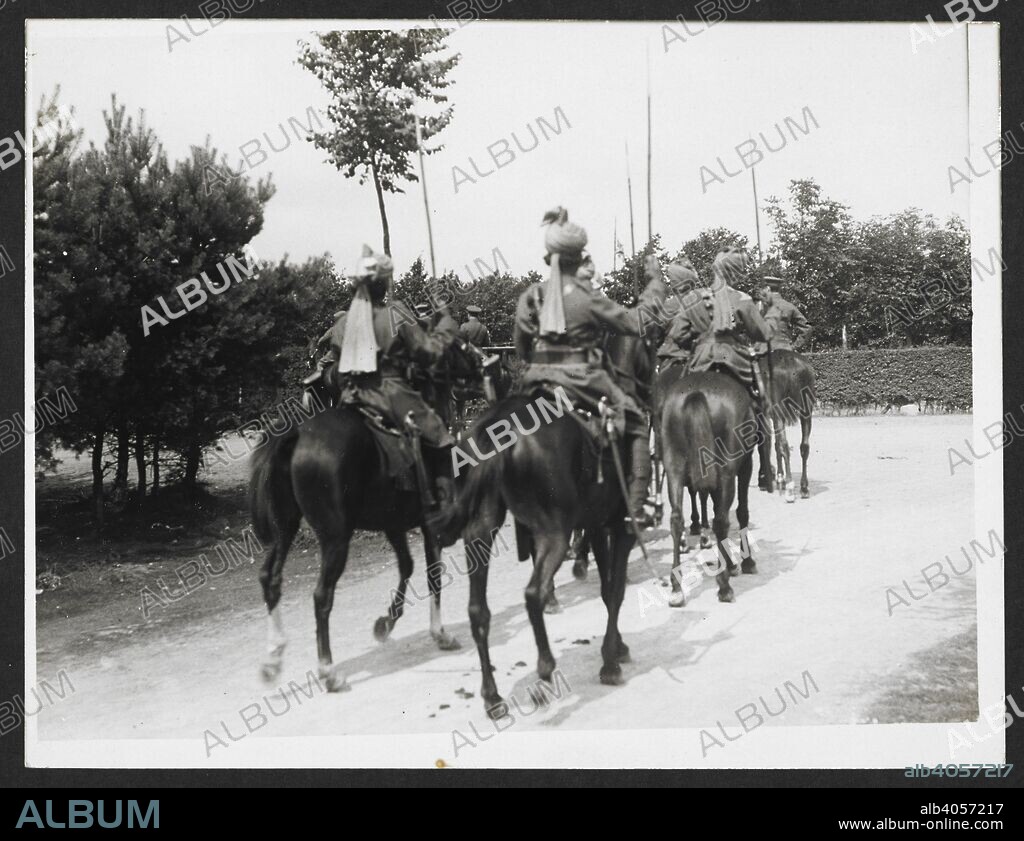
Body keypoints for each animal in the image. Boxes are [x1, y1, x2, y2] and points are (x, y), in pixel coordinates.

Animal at [761, 350, 815, 501]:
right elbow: (775, 444)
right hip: (806, 412)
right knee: (804, 446)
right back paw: (804, 487)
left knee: (784, 446)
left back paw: (790, 489)